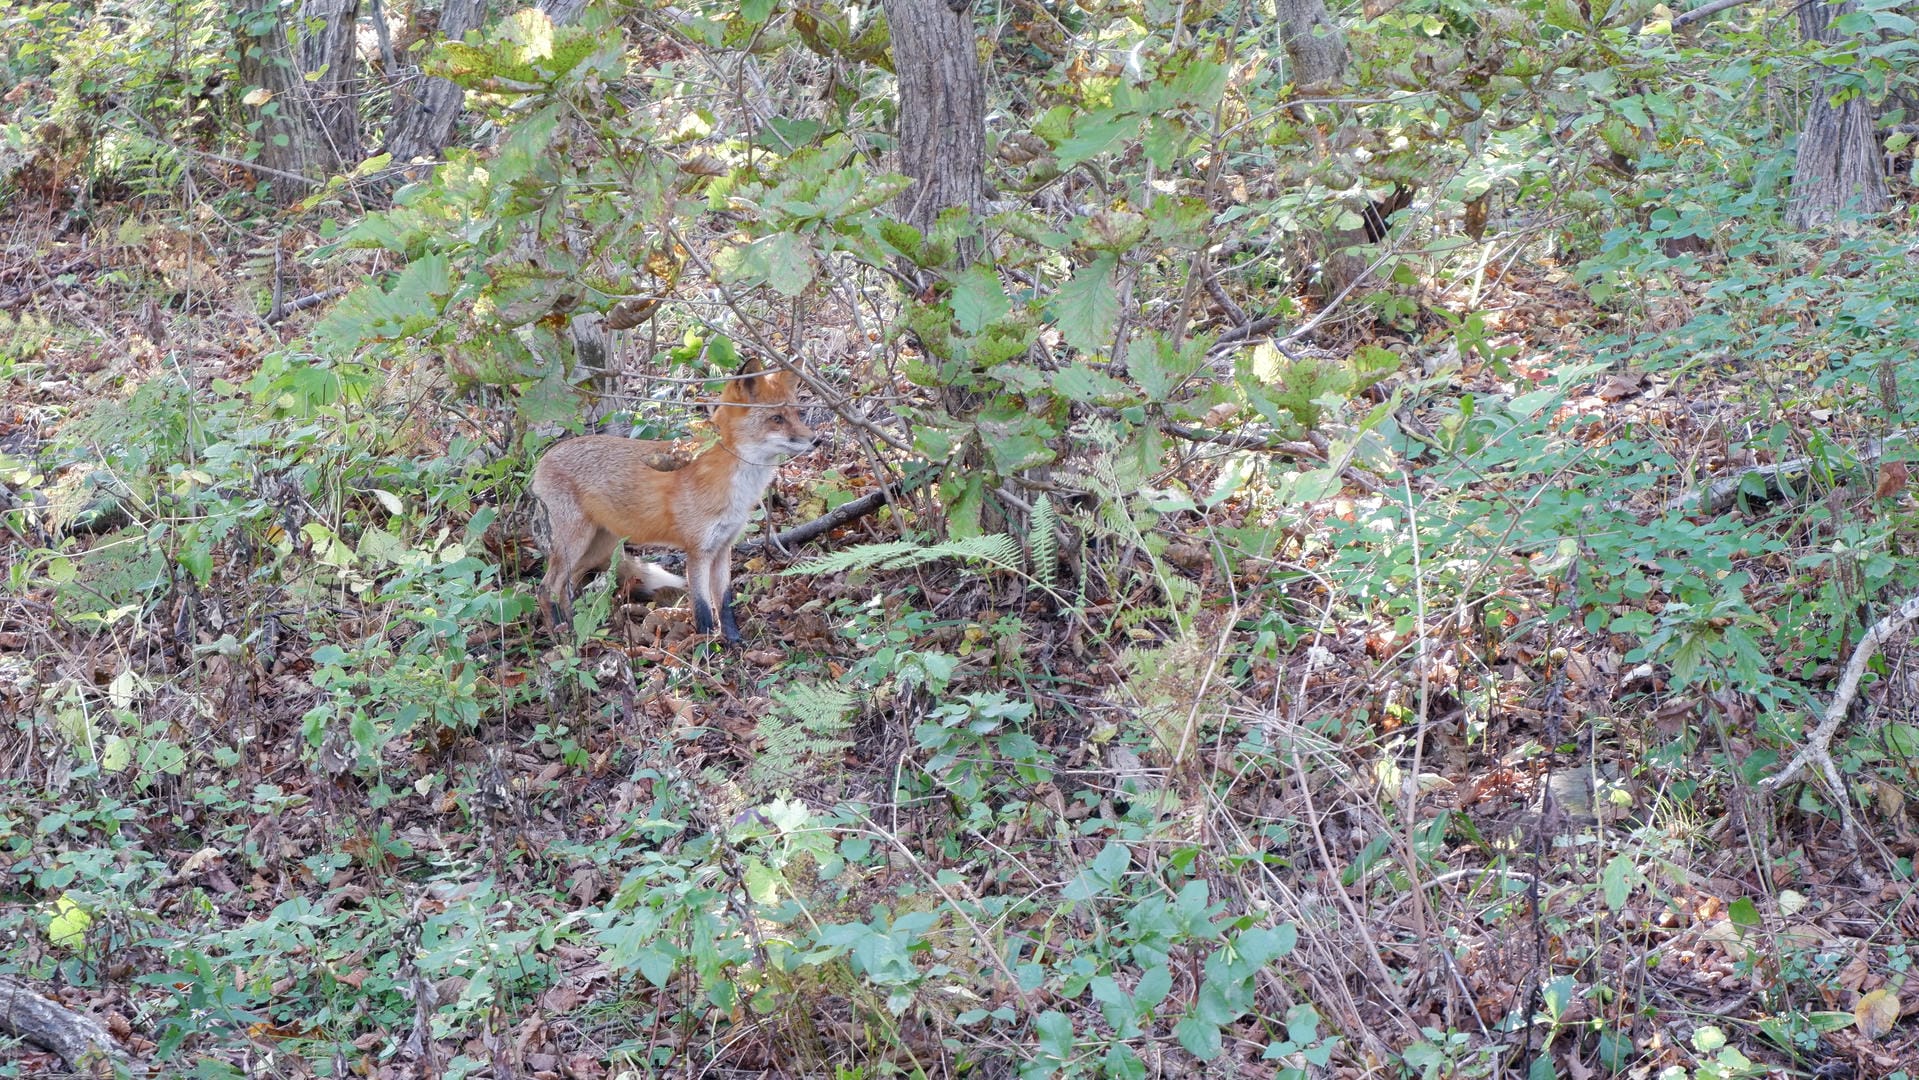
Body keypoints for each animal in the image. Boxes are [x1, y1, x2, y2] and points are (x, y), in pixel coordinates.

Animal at [531, 358, 819, 644]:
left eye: (797, 414)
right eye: (776, 418)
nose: (815, 439)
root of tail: (543, 458)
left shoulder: (723, 547)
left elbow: (724, 602)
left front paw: (734, 641)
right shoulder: (698, 551)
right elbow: (702, 607)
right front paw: (706, 647)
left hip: (596, 549)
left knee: (566, 588)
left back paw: (574, 634)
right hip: (575, 544)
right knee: (546, 589)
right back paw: (561, 640)